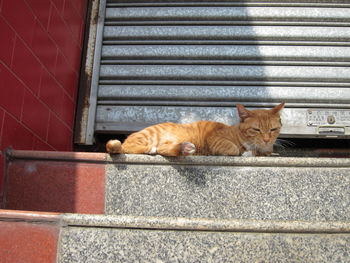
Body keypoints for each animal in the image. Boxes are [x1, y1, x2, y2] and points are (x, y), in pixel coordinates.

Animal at [106, 102, 284, 157]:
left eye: (273, 129)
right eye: (256, 130)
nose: (267, 139)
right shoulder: (215, 139)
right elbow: (234, 149)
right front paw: (244, 151)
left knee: (165, 149)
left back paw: (184, 148)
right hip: (146, 136)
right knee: (129, 147)